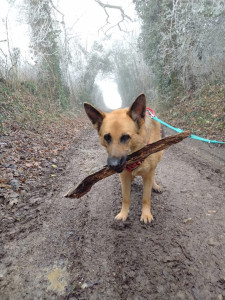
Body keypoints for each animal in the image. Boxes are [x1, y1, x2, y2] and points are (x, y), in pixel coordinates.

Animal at [83, 94, 163, 223]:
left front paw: (146, 214)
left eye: (126, 137)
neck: (136, 155)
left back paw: (155, 185)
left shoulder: (148, 175)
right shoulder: (124, 176)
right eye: (107, 137)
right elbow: (125, 198)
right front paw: (123, 214)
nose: (113, 165)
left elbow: (146, 198)